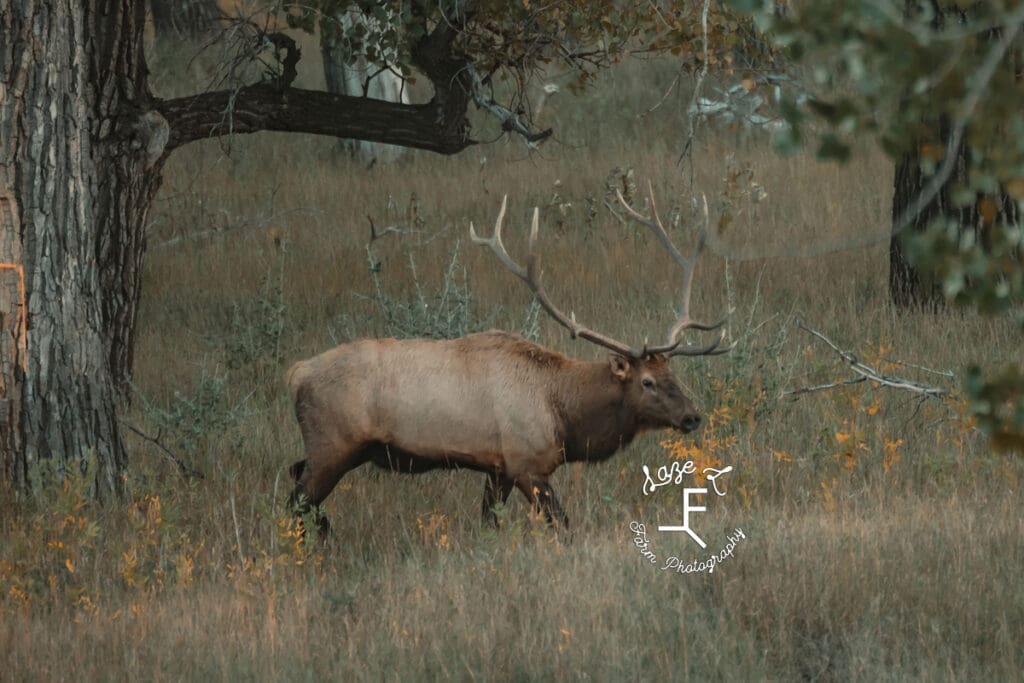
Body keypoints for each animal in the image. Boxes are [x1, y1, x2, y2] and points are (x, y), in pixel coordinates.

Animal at [284, 187, 733, 532]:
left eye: (672, 371)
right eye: (647, 382)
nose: (692, 416)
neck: (563, 415)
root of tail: (297, 374)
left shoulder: (496, 468)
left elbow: (489, 523)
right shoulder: (525, 463)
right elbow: (561, 525)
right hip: (332, 445)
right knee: (295, 505)